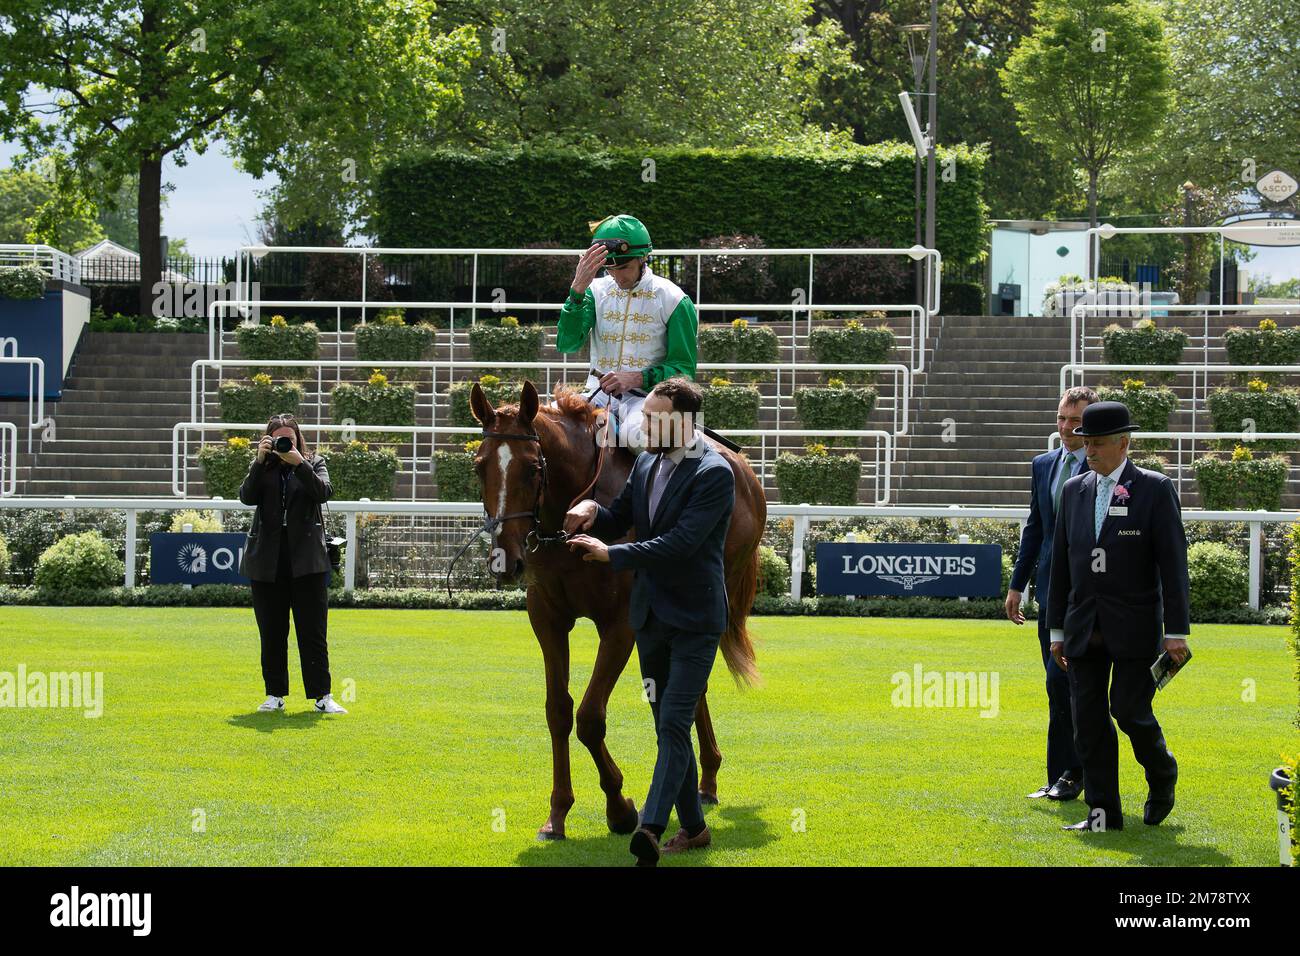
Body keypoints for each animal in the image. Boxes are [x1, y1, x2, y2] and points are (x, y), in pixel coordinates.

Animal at [467, 377, 764, 842]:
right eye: (480, 466)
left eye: (532, 467)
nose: (505, 560)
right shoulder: (547, 619)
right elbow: (558, 711)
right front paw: (558, 812)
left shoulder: (621, 625)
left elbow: (590, 716)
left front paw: (620, 807)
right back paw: (704, 779)